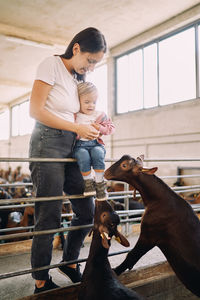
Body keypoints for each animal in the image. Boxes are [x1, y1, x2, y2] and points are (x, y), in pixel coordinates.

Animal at [104, 155, 200, 298]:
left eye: (124, 165)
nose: (105, 173)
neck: (158, 200)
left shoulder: (149, 234)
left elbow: (132, 254)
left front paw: (115, 271)